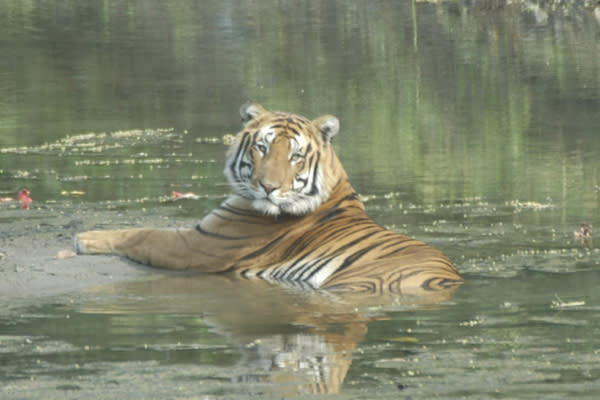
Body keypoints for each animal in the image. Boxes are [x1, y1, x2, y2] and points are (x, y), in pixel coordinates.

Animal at [72, 102, 462, 294]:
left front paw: (83, 238)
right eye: (262, 148)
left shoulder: (198, 245)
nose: (269, 187)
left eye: (295, 156)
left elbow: (141, 233)